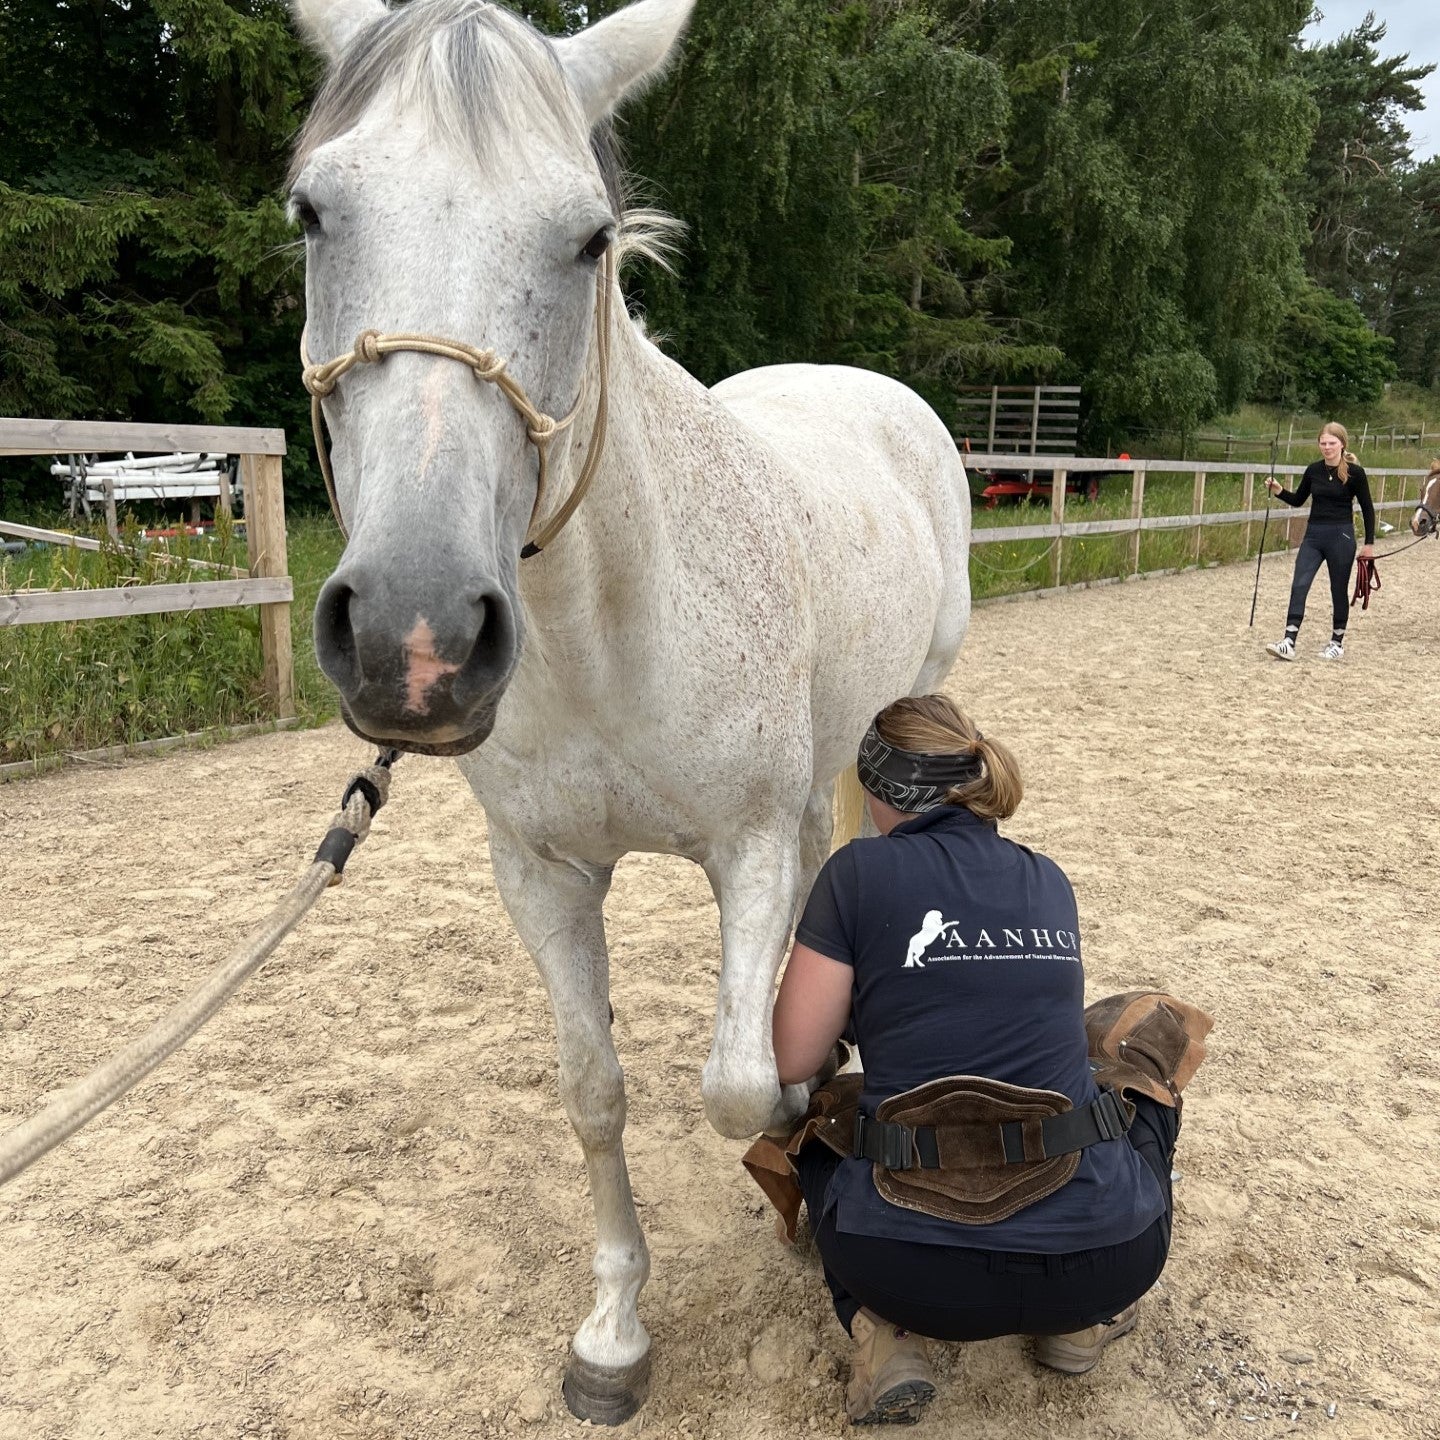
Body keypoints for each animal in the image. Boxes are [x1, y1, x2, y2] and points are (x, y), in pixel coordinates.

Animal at [290, 0, 967, 1416]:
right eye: (314, 212)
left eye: (588, 239)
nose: (413, 637)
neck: (611, 634)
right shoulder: (543, 873)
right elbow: (595, 1091)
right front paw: (613, 1331)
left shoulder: (747, 848)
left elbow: (737, 1084)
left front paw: (801, 1145)